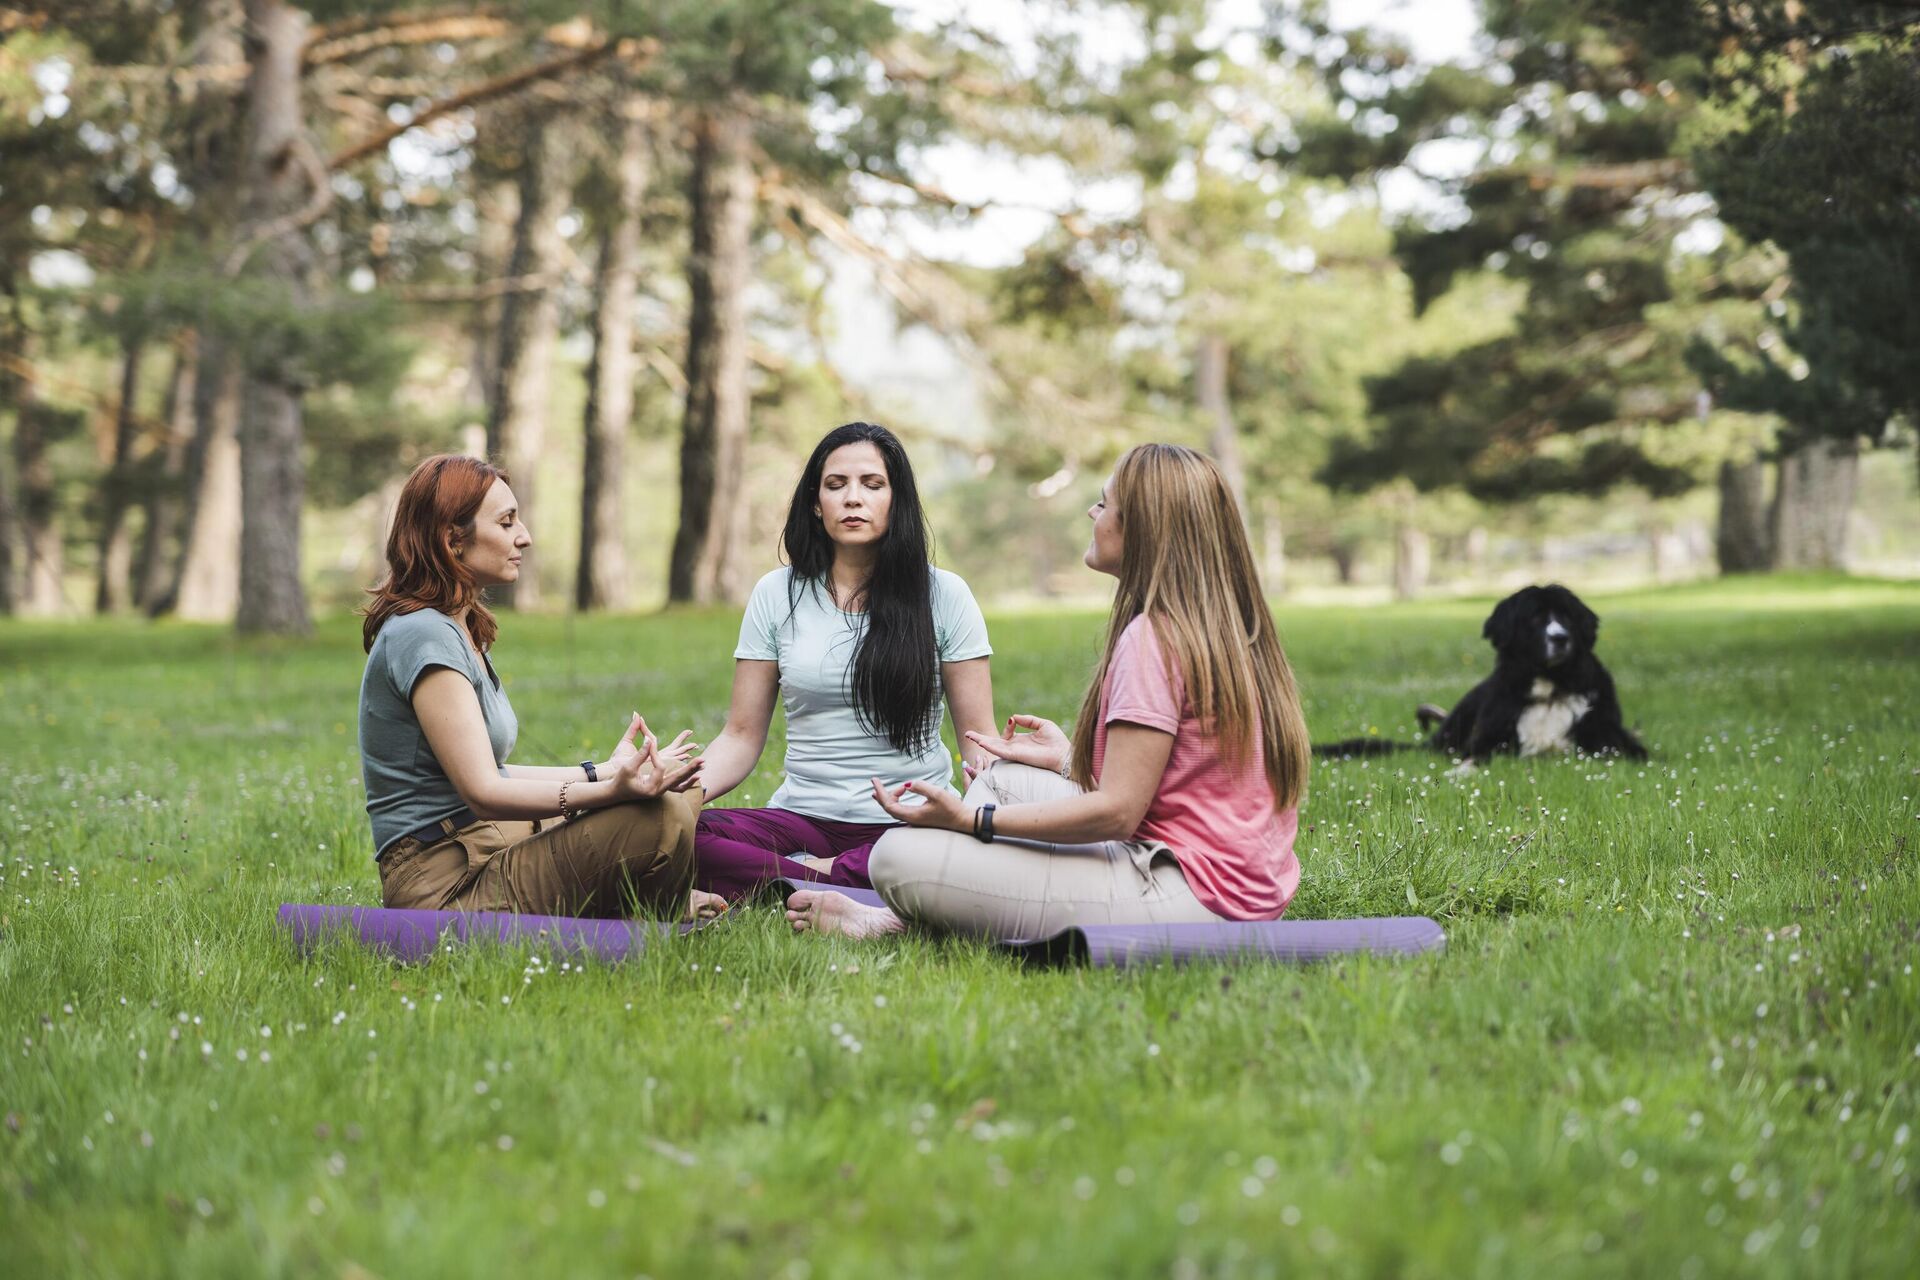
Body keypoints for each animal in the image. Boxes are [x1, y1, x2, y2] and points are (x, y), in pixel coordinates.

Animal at [1320, 583, 1651, 771]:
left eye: (1567, 617)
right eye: (1535, 618)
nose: (1560, 638)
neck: (1550, 688)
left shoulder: (1610, 741)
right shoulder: (1486, 743)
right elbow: (1472, 760)